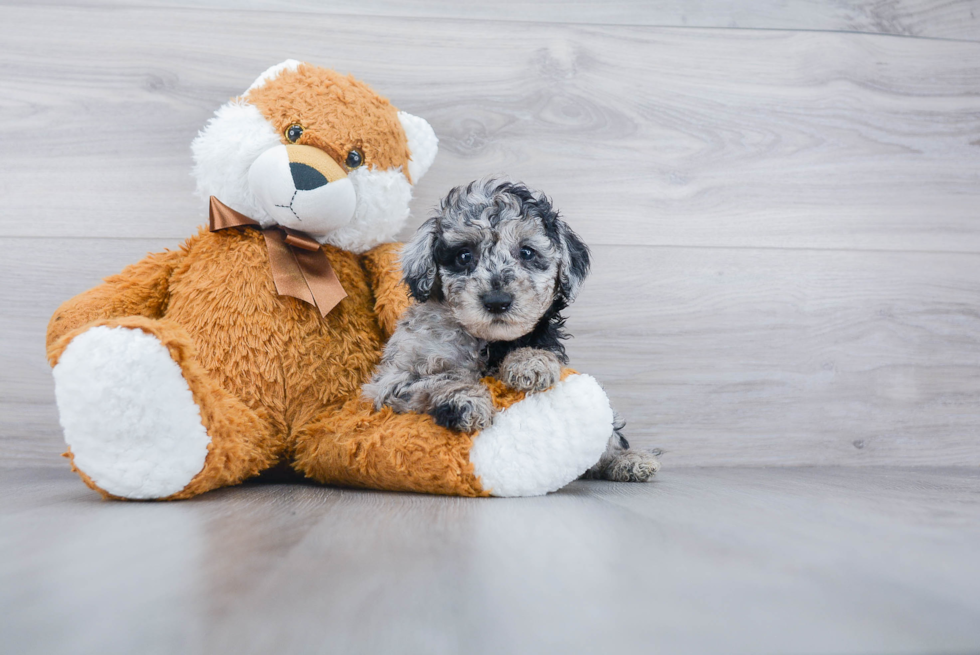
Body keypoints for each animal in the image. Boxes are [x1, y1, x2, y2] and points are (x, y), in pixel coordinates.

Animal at [364, 179, 664, 482]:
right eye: (464, 256)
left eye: (527, 252)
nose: (497, 301)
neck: (490, 342)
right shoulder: (392, 380)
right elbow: (441, 377)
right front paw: (466, 401)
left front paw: (531, 364)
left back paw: (628, 460)